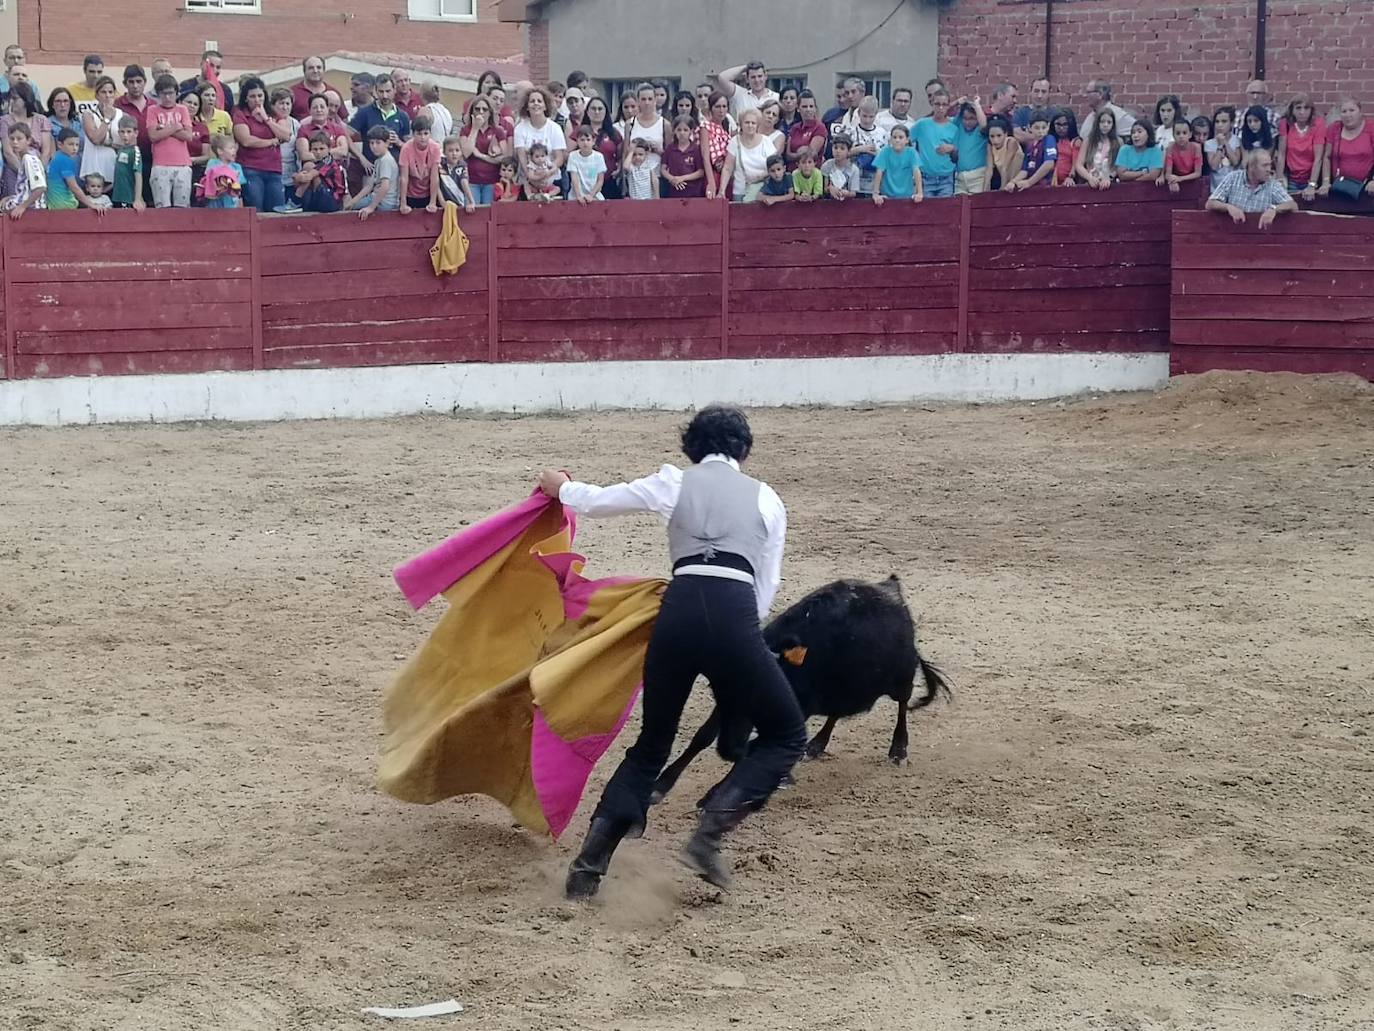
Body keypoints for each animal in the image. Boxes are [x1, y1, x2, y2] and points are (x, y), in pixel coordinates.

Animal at [648, 574, 950, 808]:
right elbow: (703, 736)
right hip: (844, 689)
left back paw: (899, 750)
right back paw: (816, 745)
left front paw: (714, 795)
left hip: (901, 678)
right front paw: (660, 785)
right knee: (837, 712)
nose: (730, 746)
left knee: (903, 705)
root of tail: (890, 587)